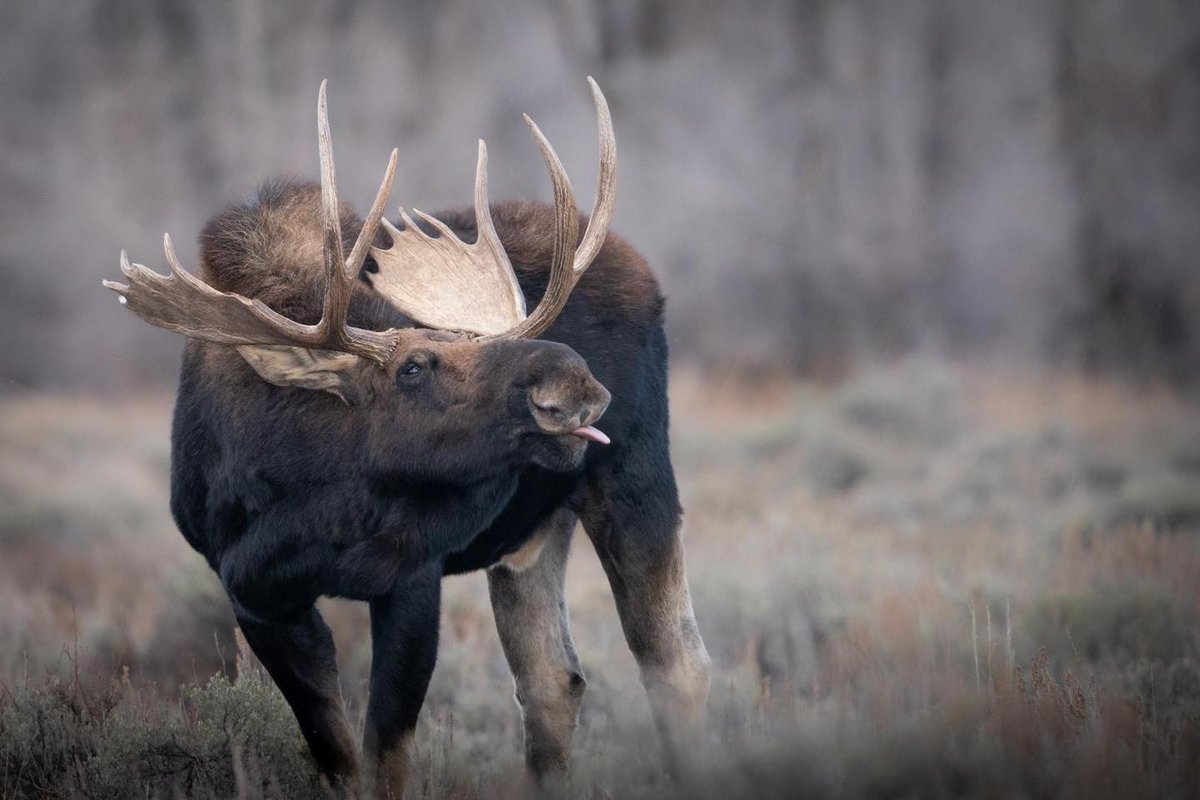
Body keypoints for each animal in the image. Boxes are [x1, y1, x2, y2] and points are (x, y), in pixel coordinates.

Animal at [105, 79, 710, 796]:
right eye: (414, 366)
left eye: (475, 337)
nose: (573, 383)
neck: (310, 503)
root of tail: (638, 265)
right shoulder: (252, 593)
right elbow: (337, 755)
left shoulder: (411, 576)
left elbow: (385, 756)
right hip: (533, 532)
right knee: (553, 680)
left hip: (635, 478)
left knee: (676, 664)